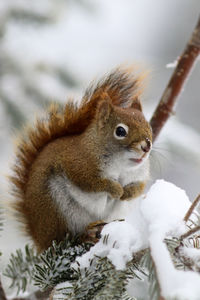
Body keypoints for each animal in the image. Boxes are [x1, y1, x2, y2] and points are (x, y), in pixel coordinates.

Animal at [9, 67, 152, 251]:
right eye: (120, 131)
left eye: (148, 126)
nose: (146, 146)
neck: (122, 165)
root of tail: (39, 238)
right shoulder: (78, 164)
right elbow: (93, 182)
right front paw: (116, 189)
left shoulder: (140, 175)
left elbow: (139, 187)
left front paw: (127, 192)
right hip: (56, 211)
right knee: (62, 238)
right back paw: (84, 235)